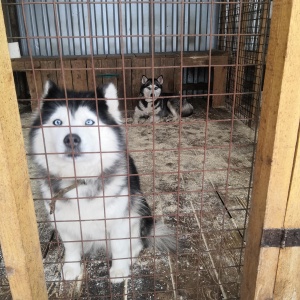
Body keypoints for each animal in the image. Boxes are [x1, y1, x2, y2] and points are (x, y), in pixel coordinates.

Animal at [29, 81, 176, 282]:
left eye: (89, 122)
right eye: (57, 122)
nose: (71, 139)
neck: (79, 176)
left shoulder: (119, 218)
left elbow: (120, 247)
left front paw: (119, 269)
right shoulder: (63, 219)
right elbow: (71, 247)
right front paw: (71, 267)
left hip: (139, 208)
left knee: (138, 243)